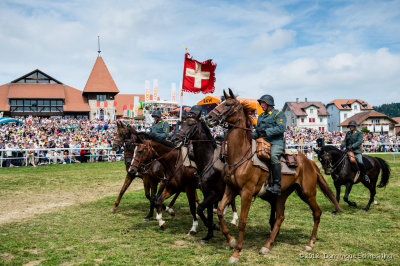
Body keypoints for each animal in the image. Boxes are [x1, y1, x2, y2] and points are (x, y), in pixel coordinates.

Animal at [170, 114, 239, 243]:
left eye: (191, 124)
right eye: (181, 124)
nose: (175, 139)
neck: (208, 161)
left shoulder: (214, 194)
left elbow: (199, 209)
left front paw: (213, 227)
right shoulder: (207, 193)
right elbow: (206, 212)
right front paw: (208, 235)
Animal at [205, 88, 342, 262]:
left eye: (228, 104)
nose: (209, 118)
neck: (241, 155)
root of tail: (309, 162)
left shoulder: (246, 193)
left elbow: (242, 221)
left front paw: (236, 252)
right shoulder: (231, 189)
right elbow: (220, 211)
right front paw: (231, 240)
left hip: (307, 193)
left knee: (316, 212)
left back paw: (310, 243)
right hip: (282, 194)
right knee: (280, 217)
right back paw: (267, 245)